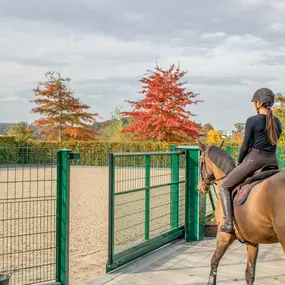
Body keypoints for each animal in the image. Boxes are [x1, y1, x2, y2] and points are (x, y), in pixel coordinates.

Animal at [196, 141, 284, 284]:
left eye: (200, 161)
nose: (200, 187)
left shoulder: (223, 236)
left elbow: (214, 261)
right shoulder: (252, 241)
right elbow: (249, 274)